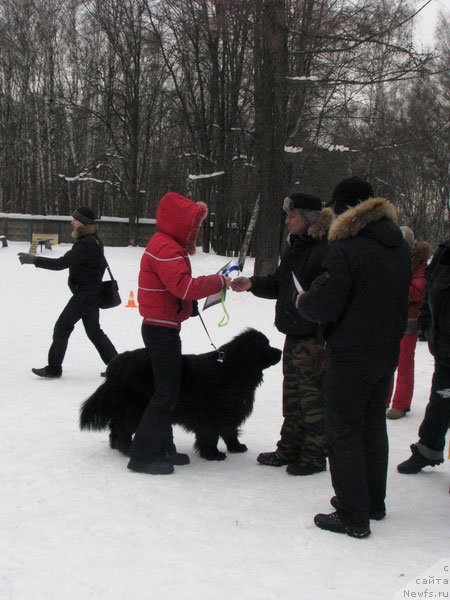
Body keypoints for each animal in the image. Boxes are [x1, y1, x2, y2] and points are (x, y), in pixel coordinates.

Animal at [79, 330, 280, 462]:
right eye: (265, 346)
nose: (280, 351)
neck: (233, 368)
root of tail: (116, 365)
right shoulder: (213, 414)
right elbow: (211, 435)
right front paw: (213, 454)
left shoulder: (231, 412)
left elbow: (230, 431)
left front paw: (236, 447)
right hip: (135, 407)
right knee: (123, 427)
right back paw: (127, 448)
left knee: (116, 425)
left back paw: (117, 445)